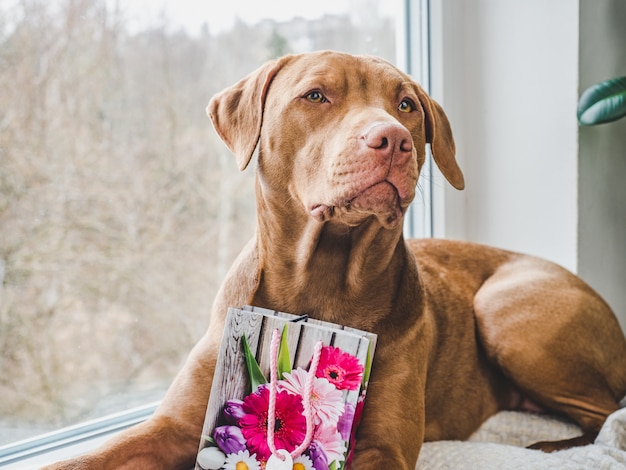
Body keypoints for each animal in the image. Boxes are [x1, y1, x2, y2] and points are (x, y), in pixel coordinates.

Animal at [46, 51, 624, 470]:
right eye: (316, 95)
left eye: (407, 105)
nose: (391, 139)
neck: (321, 280)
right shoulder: (175, 425)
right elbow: (90, 458)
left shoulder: (382, 446)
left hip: (505, 310)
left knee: (611, 411)